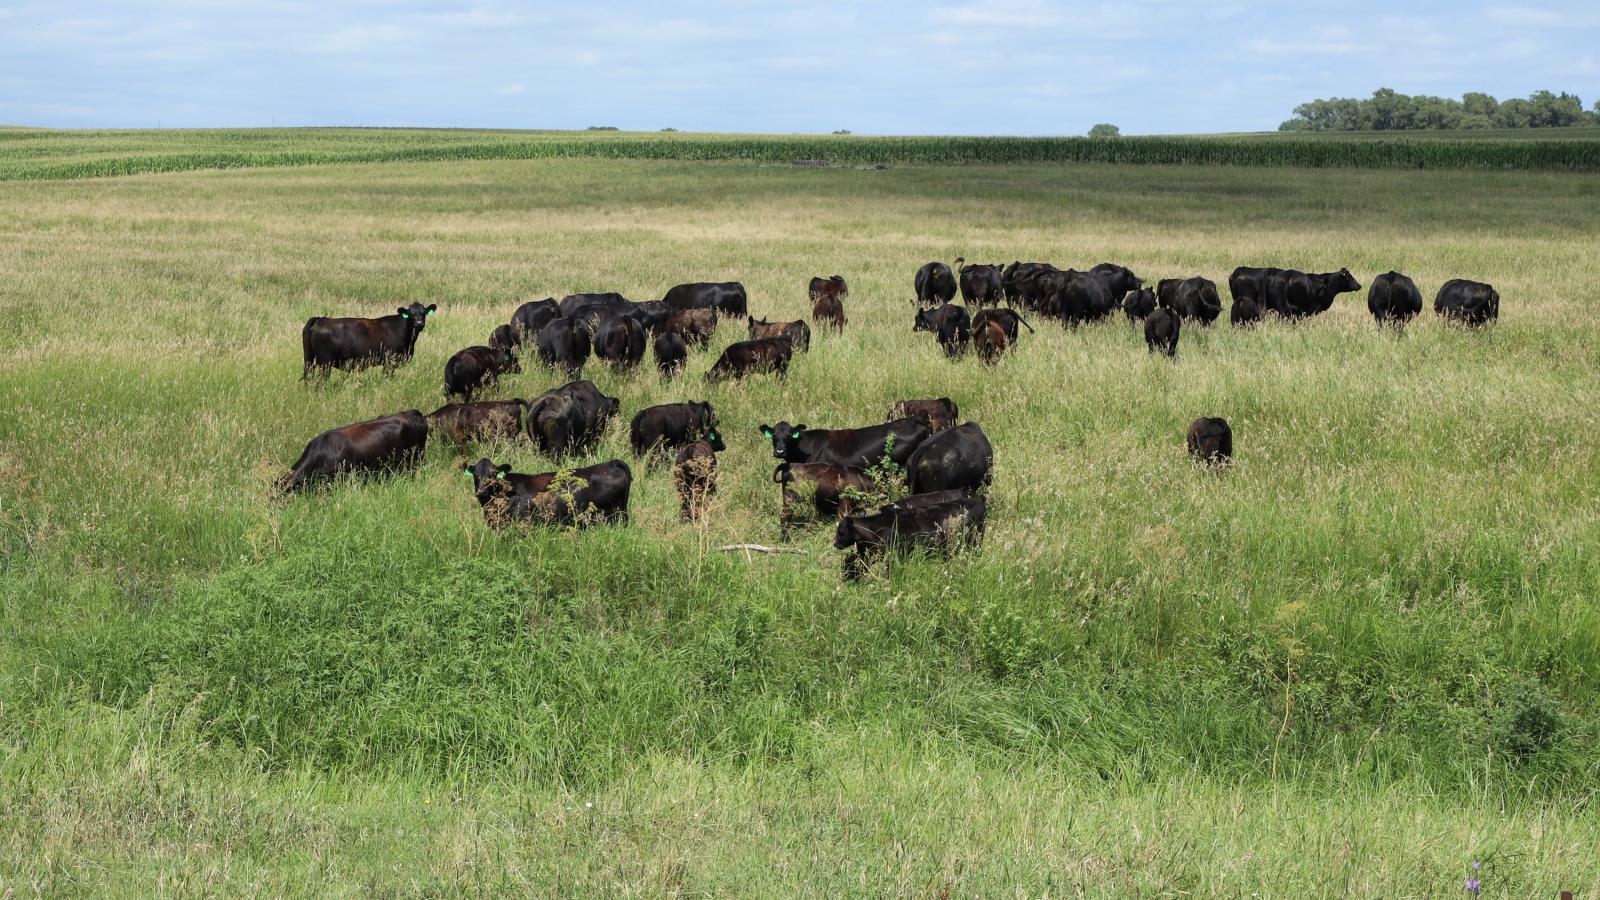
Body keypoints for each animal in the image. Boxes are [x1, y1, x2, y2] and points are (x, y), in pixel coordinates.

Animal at [300, 299, 435, 373]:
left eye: (424, 313)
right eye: (411, 314)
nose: (419, 323)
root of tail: (320, 319)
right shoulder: (389, 361)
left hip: (309, 360)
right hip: (325, 363)